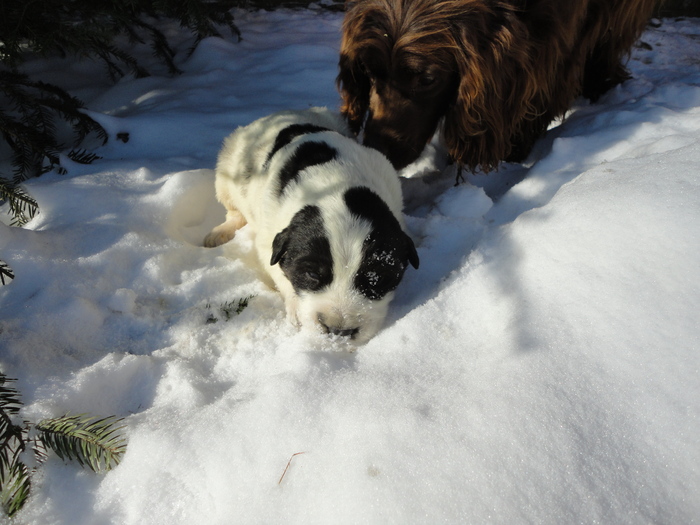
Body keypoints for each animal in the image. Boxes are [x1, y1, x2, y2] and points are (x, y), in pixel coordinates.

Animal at [205, 107, 418, 344]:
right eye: (312, 275)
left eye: (376, 278)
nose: (339, 331)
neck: (336, 186)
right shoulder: (268, 235)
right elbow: (278, 270)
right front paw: (297, 310)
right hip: (228, 171)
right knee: (233, 209)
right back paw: (219, 234)